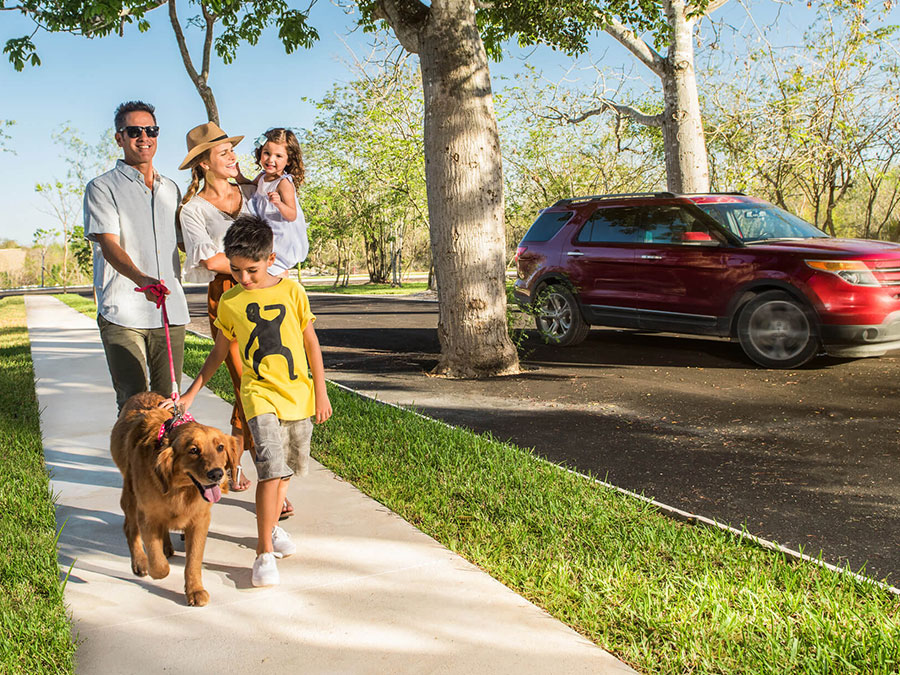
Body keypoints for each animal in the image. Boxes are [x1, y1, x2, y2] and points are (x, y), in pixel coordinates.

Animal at [109, 390, 239, 608]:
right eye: (193, 450)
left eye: (220, 447)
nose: (217, 474)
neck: (181, 490)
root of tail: (143, 393)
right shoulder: (147, 516)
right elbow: (159, 563)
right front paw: (156, 568)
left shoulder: (200, 520)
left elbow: (193, 561)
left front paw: (195, 590)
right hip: (130, 494)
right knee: (130, 528)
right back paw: (139, 561)